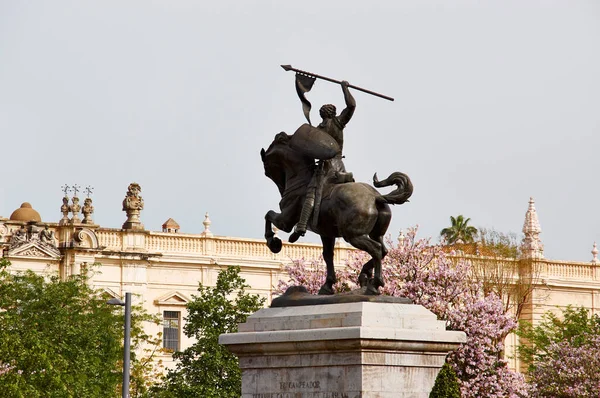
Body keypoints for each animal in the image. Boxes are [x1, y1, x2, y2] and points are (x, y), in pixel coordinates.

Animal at [258, 132, 412, 294]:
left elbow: (268, 214)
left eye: (267, 169)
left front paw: (273, 242)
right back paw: (365, 276)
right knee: (384, 250)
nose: (282, 188)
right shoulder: (326, 233)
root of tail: (376, 197)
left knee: (376, 249)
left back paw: (374, 283)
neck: (301, 179)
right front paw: (327, 285)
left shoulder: (285, 221)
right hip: (376, 233)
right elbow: (328, 256)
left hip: (353, 235)